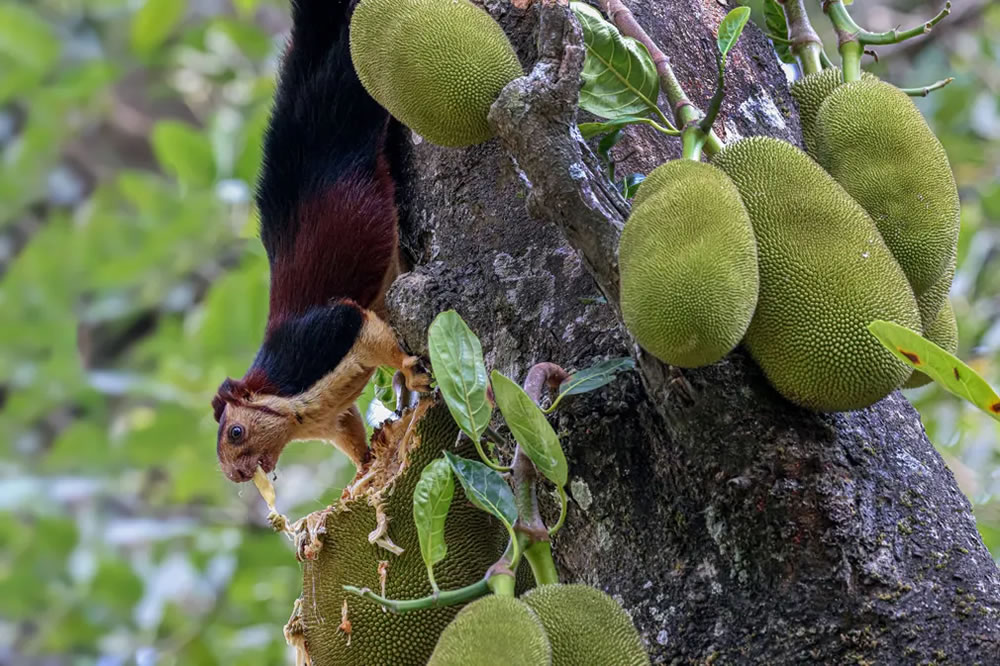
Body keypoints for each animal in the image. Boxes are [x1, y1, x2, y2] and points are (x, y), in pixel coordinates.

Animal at [211, 0, 430, 480]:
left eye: (235, 432)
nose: (236, 476)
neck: (289, 405)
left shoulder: (318, 341)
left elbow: (365, 329)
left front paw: (409, 369)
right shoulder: (330, 417)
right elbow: (349, 433)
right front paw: (365, 467)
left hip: (345, 95)